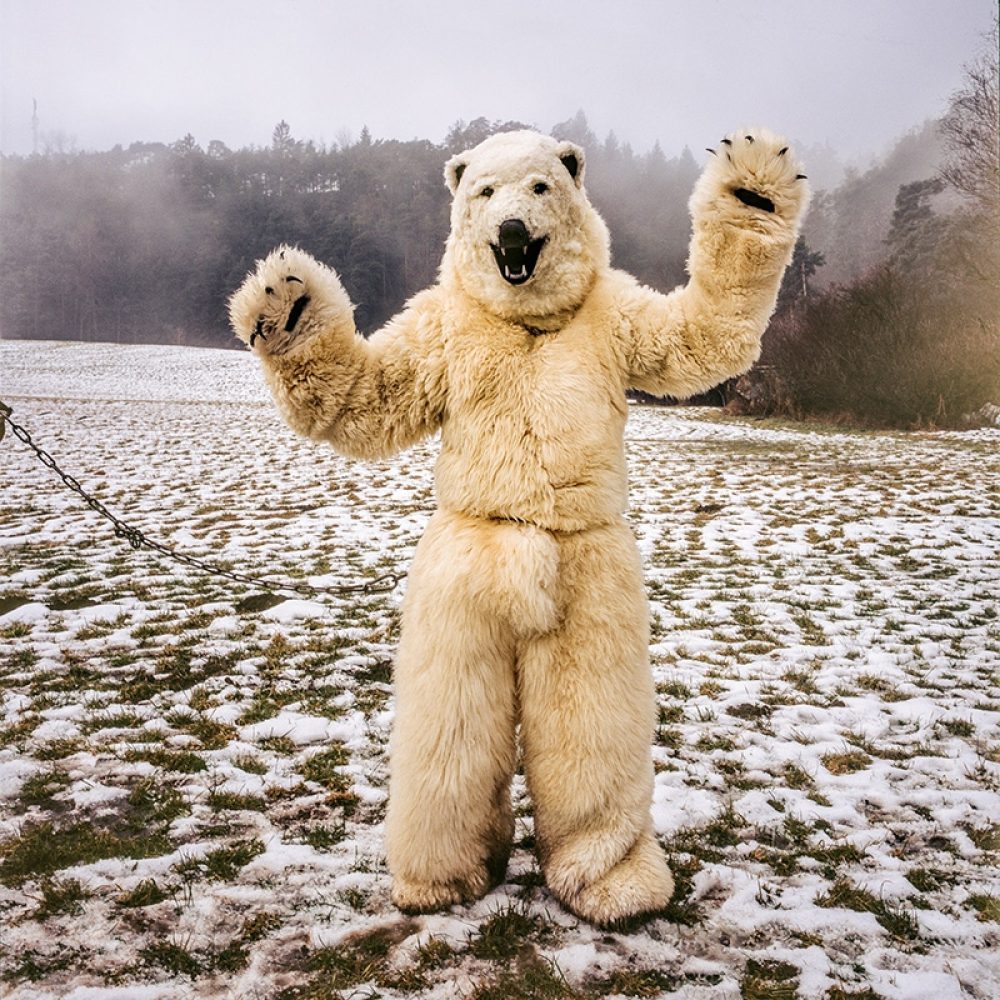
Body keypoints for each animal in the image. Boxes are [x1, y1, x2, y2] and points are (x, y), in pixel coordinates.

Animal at [229, 128, 808, 926]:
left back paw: (614, 883)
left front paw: (752, 188)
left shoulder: (619, 319)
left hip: (588, 598)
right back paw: (439, 879)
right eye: (483, 190)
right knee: (451, 728)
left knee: (589, 718)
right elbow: (373, 393)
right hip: (459, 594)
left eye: (539, 186)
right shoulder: (439, 333)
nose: (508, 230)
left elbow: (699, 334)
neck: (528, 319)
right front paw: (286, 305)